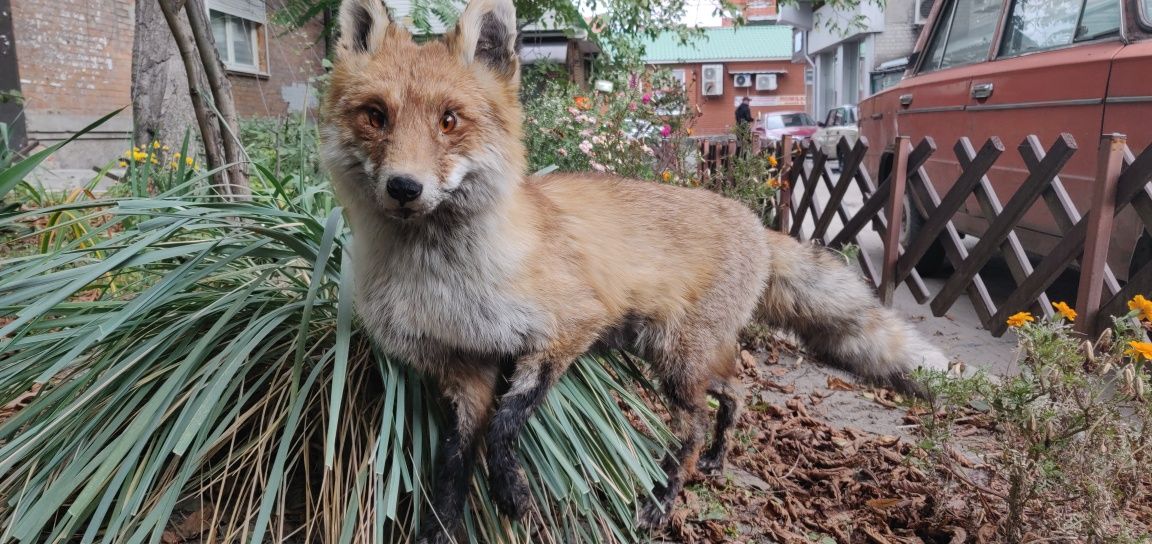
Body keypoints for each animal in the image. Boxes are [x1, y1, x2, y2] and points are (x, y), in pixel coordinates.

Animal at [320, 0, 949, 539]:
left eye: (450, 120)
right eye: (375, 116)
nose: (404, 187)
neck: (446, 283)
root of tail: (753, 222)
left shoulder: (569, 327)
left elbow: (505, 424)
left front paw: (513, 494)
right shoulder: (462, 368)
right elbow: (451, 471)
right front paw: (445, 526)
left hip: (674, 362)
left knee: (694, 425)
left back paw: (664, 497)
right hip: (674, 356)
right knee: (736, 390)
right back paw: (718, 456)